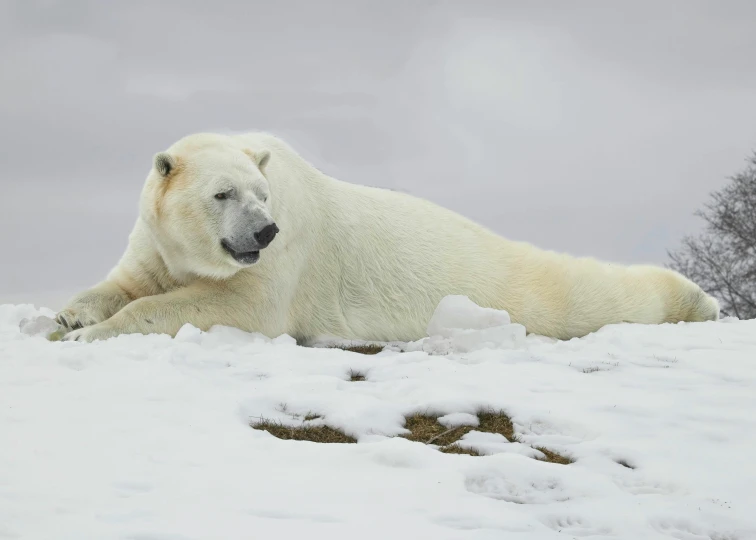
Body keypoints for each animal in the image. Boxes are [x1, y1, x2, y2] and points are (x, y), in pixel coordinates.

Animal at [56, 131, 716, 342]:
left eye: (262, 194)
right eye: (223, 194)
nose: (265, 230)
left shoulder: (282, 261)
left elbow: (237, 305)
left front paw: (93, 334)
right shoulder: (155, 240)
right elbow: (130, 281)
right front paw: (70, 315)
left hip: (511, 284)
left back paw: (699, 301)